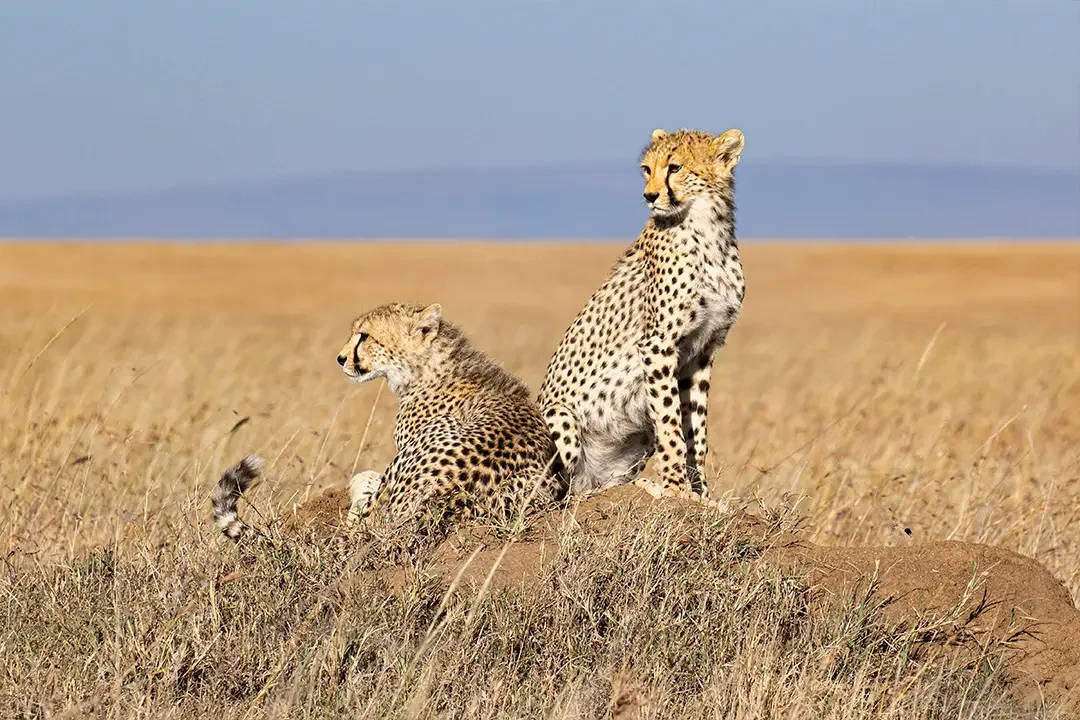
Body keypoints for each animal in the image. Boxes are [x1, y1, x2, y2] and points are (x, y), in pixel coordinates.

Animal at [537, 127, 746, 506]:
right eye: (647, 170)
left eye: (675, 167)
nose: (649, 196)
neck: (708, 229)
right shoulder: (657, 345)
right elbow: (670, 424)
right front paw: (677, 489)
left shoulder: (704, 351)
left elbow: (696, 431)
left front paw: (702, 494)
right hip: (561, 418)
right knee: (553, 496)